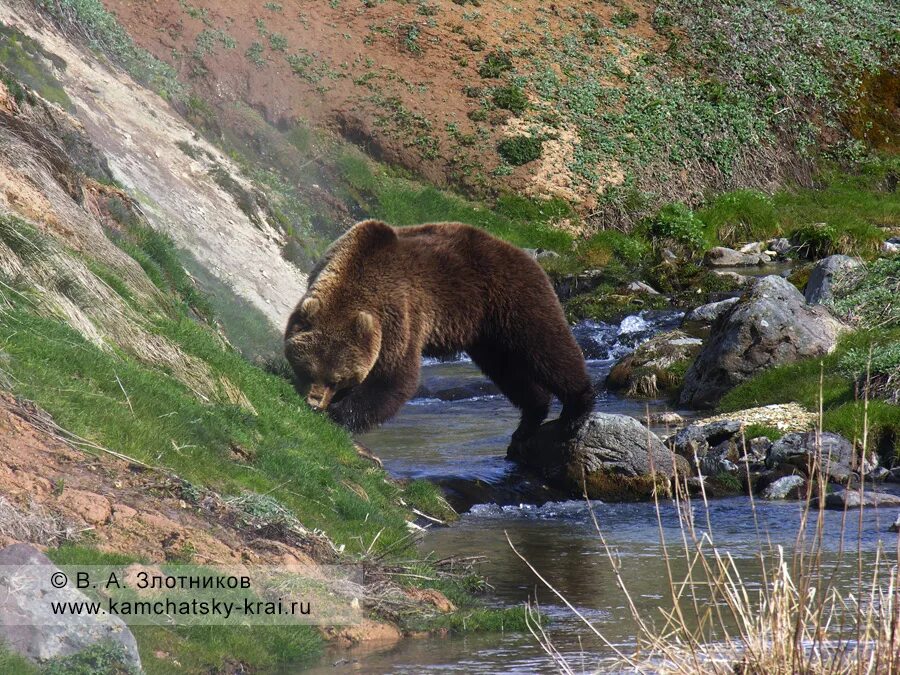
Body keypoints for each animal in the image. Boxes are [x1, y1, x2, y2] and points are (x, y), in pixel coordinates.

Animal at [286, 219, 596, 440]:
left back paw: (575, 411)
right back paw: (529, 420)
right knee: (509, 372)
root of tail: (525, 255)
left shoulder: (397, 314)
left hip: (514, 300)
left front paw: (339, 415)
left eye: (337, 378)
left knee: (547, 348)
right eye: (309, 370)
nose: (315, 402)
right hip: (488, 335)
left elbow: (393, 378)